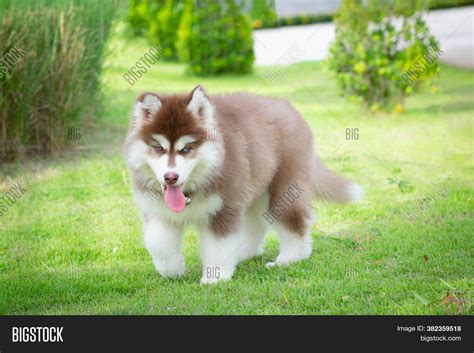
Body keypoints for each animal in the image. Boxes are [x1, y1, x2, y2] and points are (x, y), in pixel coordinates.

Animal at [124, 86, 362, 284]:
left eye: (186, 149)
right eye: (159, 148)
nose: (170, 177)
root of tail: (287, 106)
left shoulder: (223, 209)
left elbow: (218, 247)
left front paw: (214, 277)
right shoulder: (158, 212)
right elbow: (158, 243)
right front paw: (172, 269)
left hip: (283, 189)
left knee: (295, 222)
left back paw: (290, 258)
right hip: (253, 190)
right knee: (256, 224)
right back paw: (243, 253)